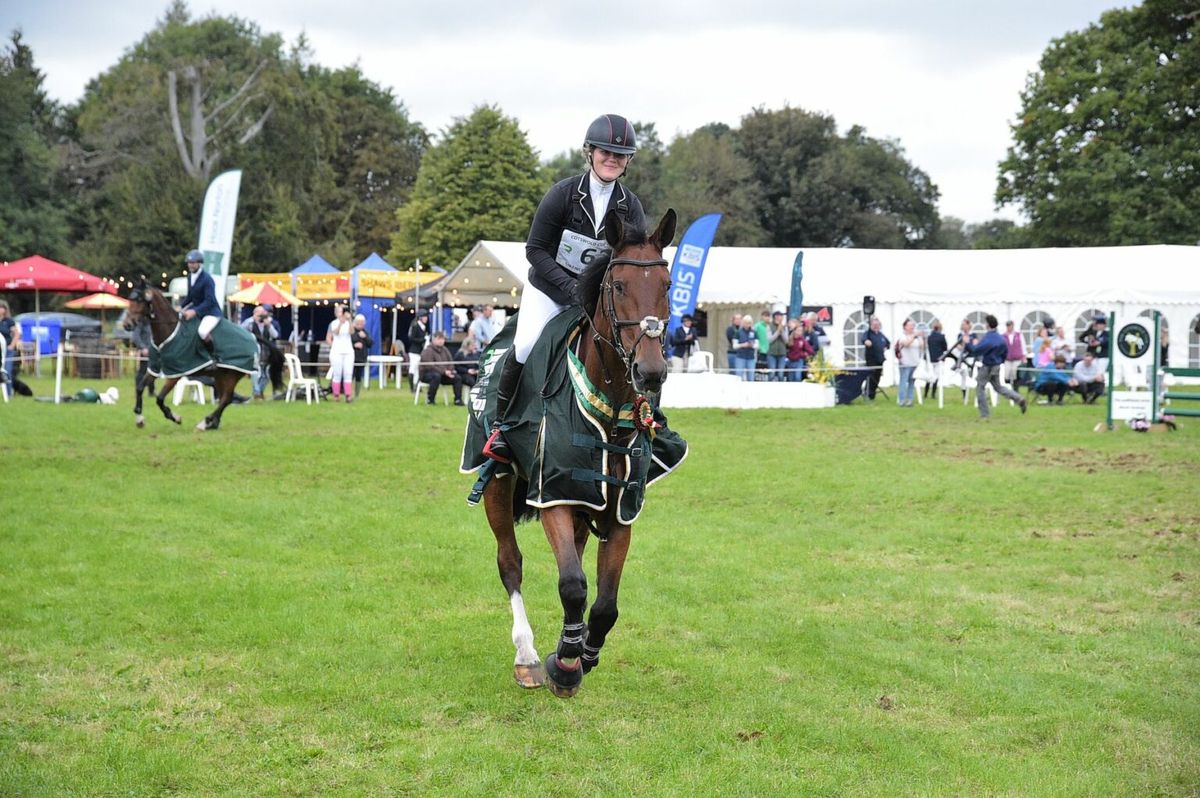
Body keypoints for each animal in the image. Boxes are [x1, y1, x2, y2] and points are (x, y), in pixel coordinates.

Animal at [124, 278, 258, 432]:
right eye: (130, 299)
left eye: (140, 300)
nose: (126, 325)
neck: (168, 331)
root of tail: (253, 337)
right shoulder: (154, 368)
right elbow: (140, 388)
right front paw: (139, 419)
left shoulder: (175, 373)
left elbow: (160, 398)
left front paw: (175, 417)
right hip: (221, 375)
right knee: (224, 398)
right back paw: (212, 423)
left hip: (233, 374)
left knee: (226, 398)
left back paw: (206, 422)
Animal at [463, 206, 691, 696]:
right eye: (617, 285)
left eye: (667, 286)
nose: (651, 372)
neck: (608, 404)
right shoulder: (554, 495)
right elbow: (571, 585)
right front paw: (564, 663)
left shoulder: (618, 511)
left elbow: (604, 603)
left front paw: (584, 652)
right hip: (499, 483)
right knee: (510, 563)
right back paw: (527, 656)